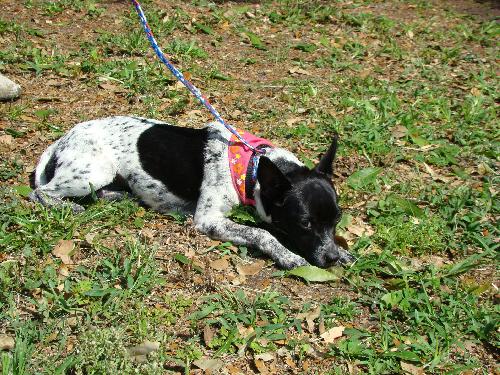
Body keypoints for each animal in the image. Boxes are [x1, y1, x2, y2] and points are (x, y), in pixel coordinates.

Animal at [29, 116, 356, 268]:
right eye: (305, 224)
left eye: (337, 220)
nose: (330, 258)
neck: (250, 164)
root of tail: (64, 137)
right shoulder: (209, 220)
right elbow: (263, 233)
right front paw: (288, 256)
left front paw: (342, 250)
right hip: (93, 172)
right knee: (41, 192)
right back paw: (67, 206)